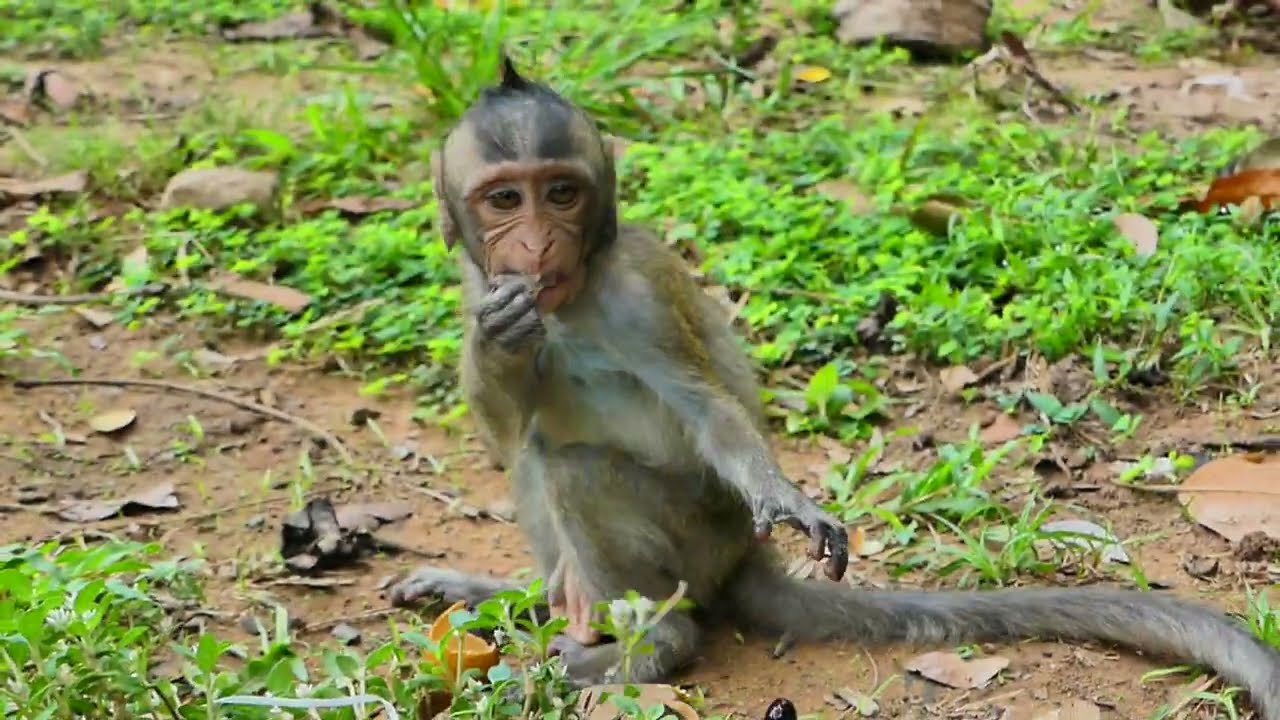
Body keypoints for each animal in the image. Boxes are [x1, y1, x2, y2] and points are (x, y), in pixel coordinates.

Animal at [388, 56, 1280, 719]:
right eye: (505, 198)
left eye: (562, 192)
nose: (538, 245)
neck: (571, 303)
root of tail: (741, 563)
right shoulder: (479, 285)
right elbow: (505, 429)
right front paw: (500, 341)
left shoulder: (638, 295)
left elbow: (709, 417)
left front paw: (785, 497)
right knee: (538, 454)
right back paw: (532, 602)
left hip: (699, 537)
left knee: (569, 466)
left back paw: (640, 654)